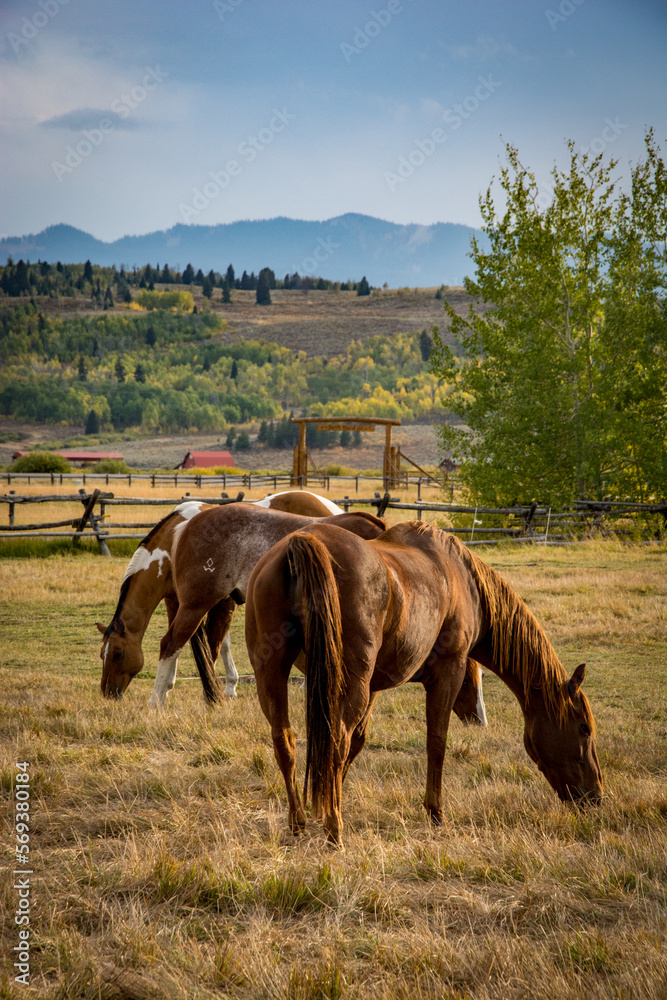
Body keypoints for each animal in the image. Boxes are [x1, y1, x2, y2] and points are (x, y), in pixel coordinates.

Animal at [245, 520, 602, 845]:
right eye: (584, 728)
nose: (596, 796)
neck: (462, 580)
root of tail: (302, 543)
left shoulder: (373, 686)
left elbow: (358, 742)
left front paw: (329, 798)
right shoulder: (447, 673)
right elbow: (436, 742)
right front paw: (435, 812)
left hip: (274, 677)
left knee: (286, 740)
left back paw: (300, 822)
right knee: (335, 740)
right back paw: (334, 829)